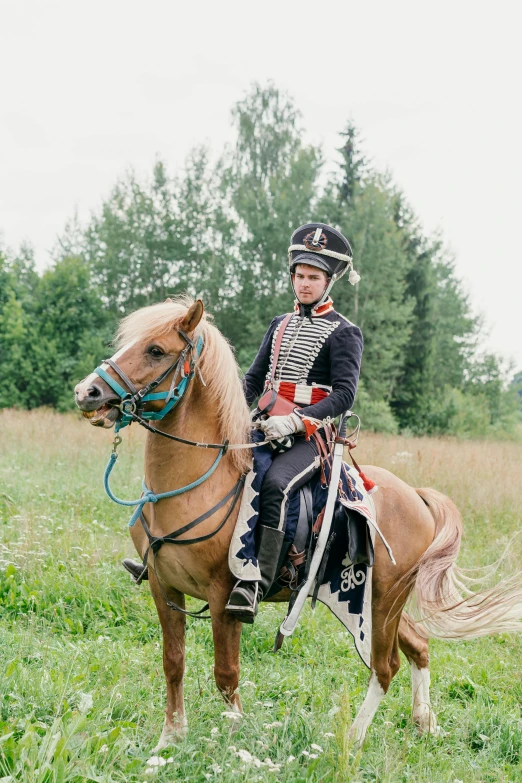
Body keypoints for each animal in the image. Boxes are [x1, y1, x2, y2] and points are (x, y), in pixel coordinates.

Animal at [74, 298, 520, 752]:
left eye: (156, 350)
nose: (87, 392)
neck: (195, 484)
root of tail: (415, 496)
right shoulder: (165, 589)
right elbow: (173, 662)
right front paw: (170, 739)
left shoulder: (223, 597)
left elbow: (226, 673)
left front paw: (231, 739)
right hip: (380, 601)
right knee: (418, 644)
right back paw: (424, 722)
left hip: (384, 600)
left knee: (385, 665)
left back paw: (352, 739)